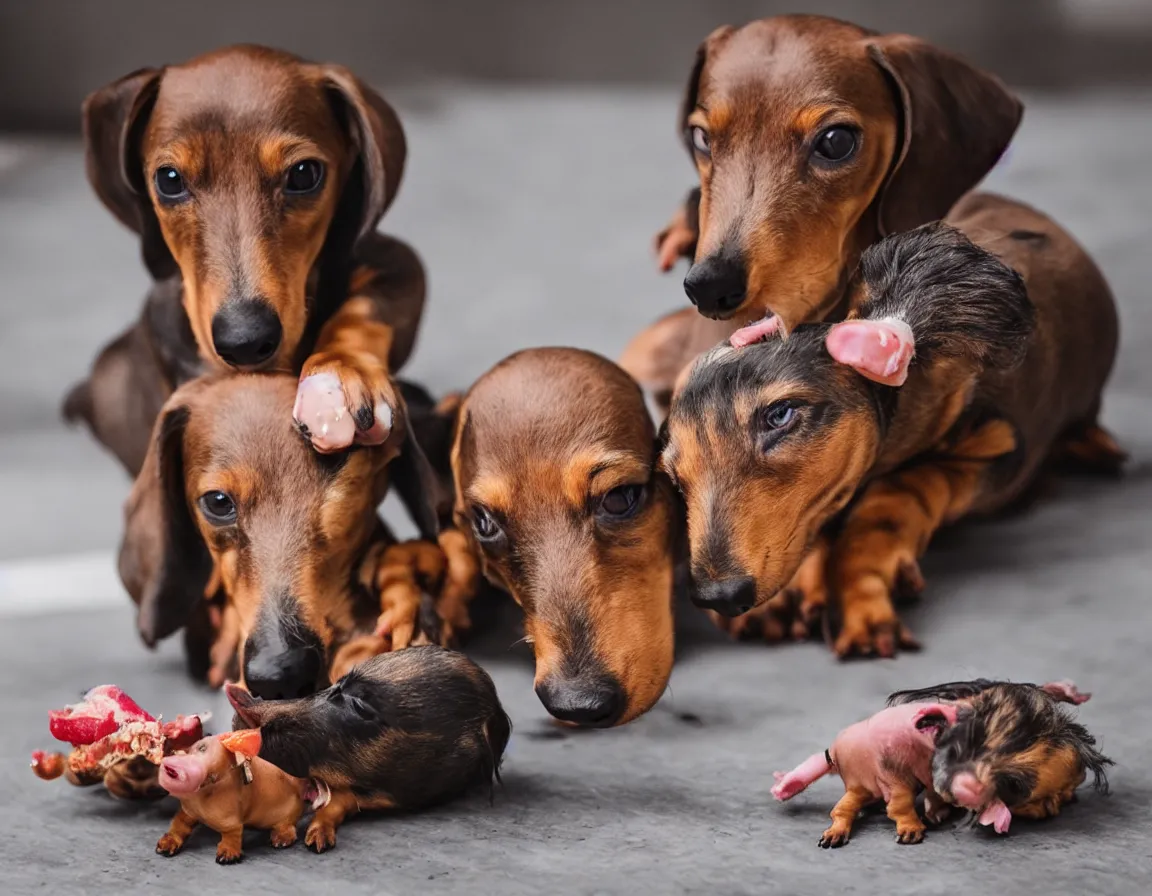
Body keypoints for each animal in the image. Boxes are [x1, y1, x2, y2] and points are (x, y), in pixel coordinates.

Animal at [154, 727, 324, 861]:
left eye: (203, 748)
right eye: (186, 750)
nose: (170, 763)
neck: (204, 794)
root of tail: (300, 785)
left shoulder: (230, 819)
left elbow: (232, 833)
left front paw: (226, 855)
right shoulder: (187, 811)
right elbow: (178, 824)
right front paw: (165, 845)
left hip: (288, 817)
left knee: (289, 828)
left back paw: (280, 840)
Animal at [774, 700, 963, 843]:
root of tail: (833, 752)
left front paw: (937, 813)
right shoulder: (894, 772)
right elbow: (900, 804)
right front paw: (912, 829)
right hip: (865, 779)